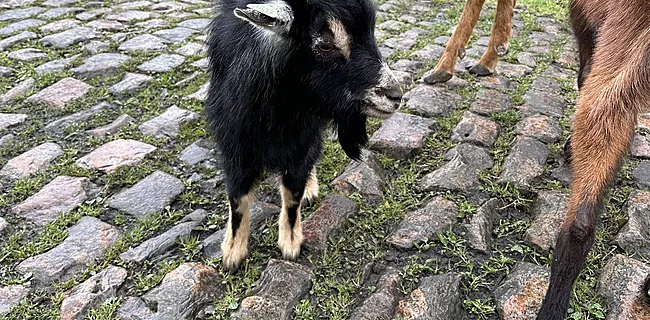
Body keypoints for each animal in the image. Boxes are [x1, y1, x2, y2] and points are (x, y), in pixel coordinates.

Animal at [205, 0, 402, 272]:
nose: (396, 95)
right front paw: (232, 253)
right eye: (326, 44)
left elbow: (292, 195)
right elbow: (238, 199)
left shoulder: (302, 138)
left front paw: (290, 244)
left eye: (371, 33)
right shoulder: (235, 143)